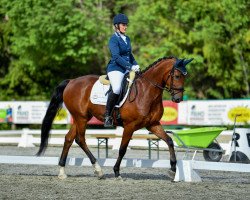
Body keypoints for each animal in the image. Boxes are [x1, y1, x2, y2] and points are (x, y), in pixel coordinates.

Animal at [37, 55, 193, 180]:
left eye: (185, 76)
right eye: (177, 76)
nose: (178, 99)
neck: (147, 91)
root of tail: (71, 81)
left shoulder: (153, 124)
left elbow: (169, 141)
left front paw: (173, 170)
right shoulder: (130, 126)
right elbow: (122, 149)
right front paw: (117, 172)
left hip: (80, 117)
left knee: (69, 138)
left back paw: (62, 172)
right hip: (81, 118)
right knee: (80, 139)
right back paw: (98, 170)